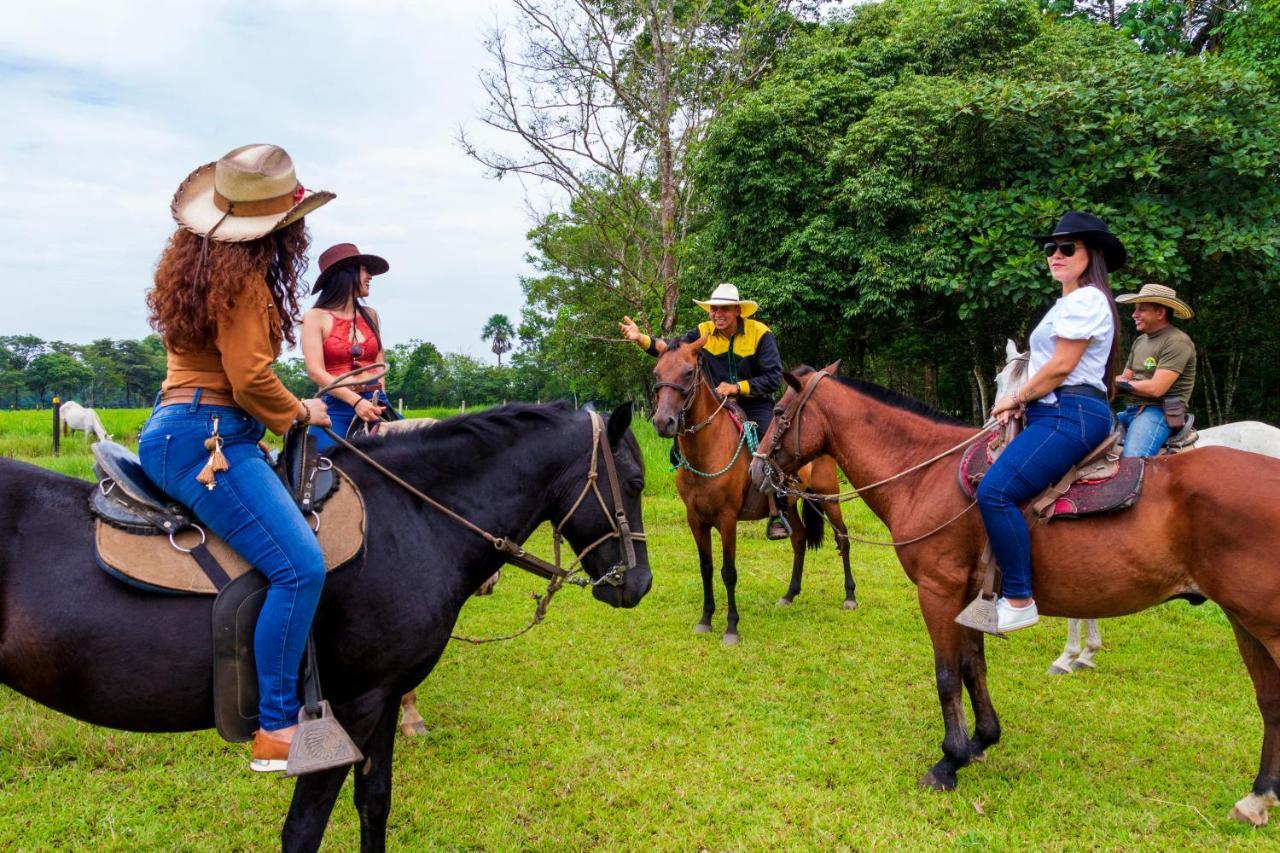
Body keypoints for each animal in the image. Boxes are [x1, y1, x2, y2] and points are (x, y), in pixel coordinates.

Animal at [0, 402, 650, 845]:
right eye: (636, 482)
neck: (407, 520)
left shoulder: (383, 699)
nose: (638, 583)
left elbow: (375, 802)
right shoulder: (348, 709)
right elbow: (304, 828)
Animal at [655, 335, 855, 640]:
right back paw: (790, 593)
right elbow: (706, 567)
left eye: (688, 373)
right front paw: (705, 619)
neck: (708, 450)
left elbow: (728, 571)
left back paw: (850, 595)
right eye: (656, 373)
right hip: (791, 504)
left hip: (828, 496)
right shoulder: (695, 520)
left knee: (842, 539)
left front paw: (731, 627)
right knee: (799, 539)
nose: (663, 422)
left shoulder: (727, 519)